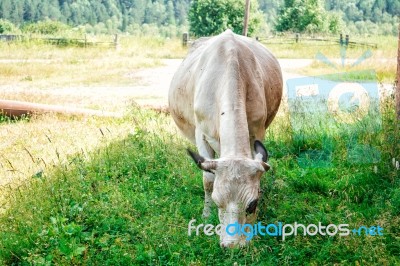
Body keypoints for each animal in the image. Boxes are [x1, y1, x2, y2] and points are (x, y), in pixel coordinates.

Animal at [167, 29, 282, 247]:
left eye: (252, 204)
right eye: (217, 201)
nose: (232, 246)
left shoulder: (258, 131)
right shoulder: (201, 135)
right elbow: (208, 180)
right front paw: (206, 215)